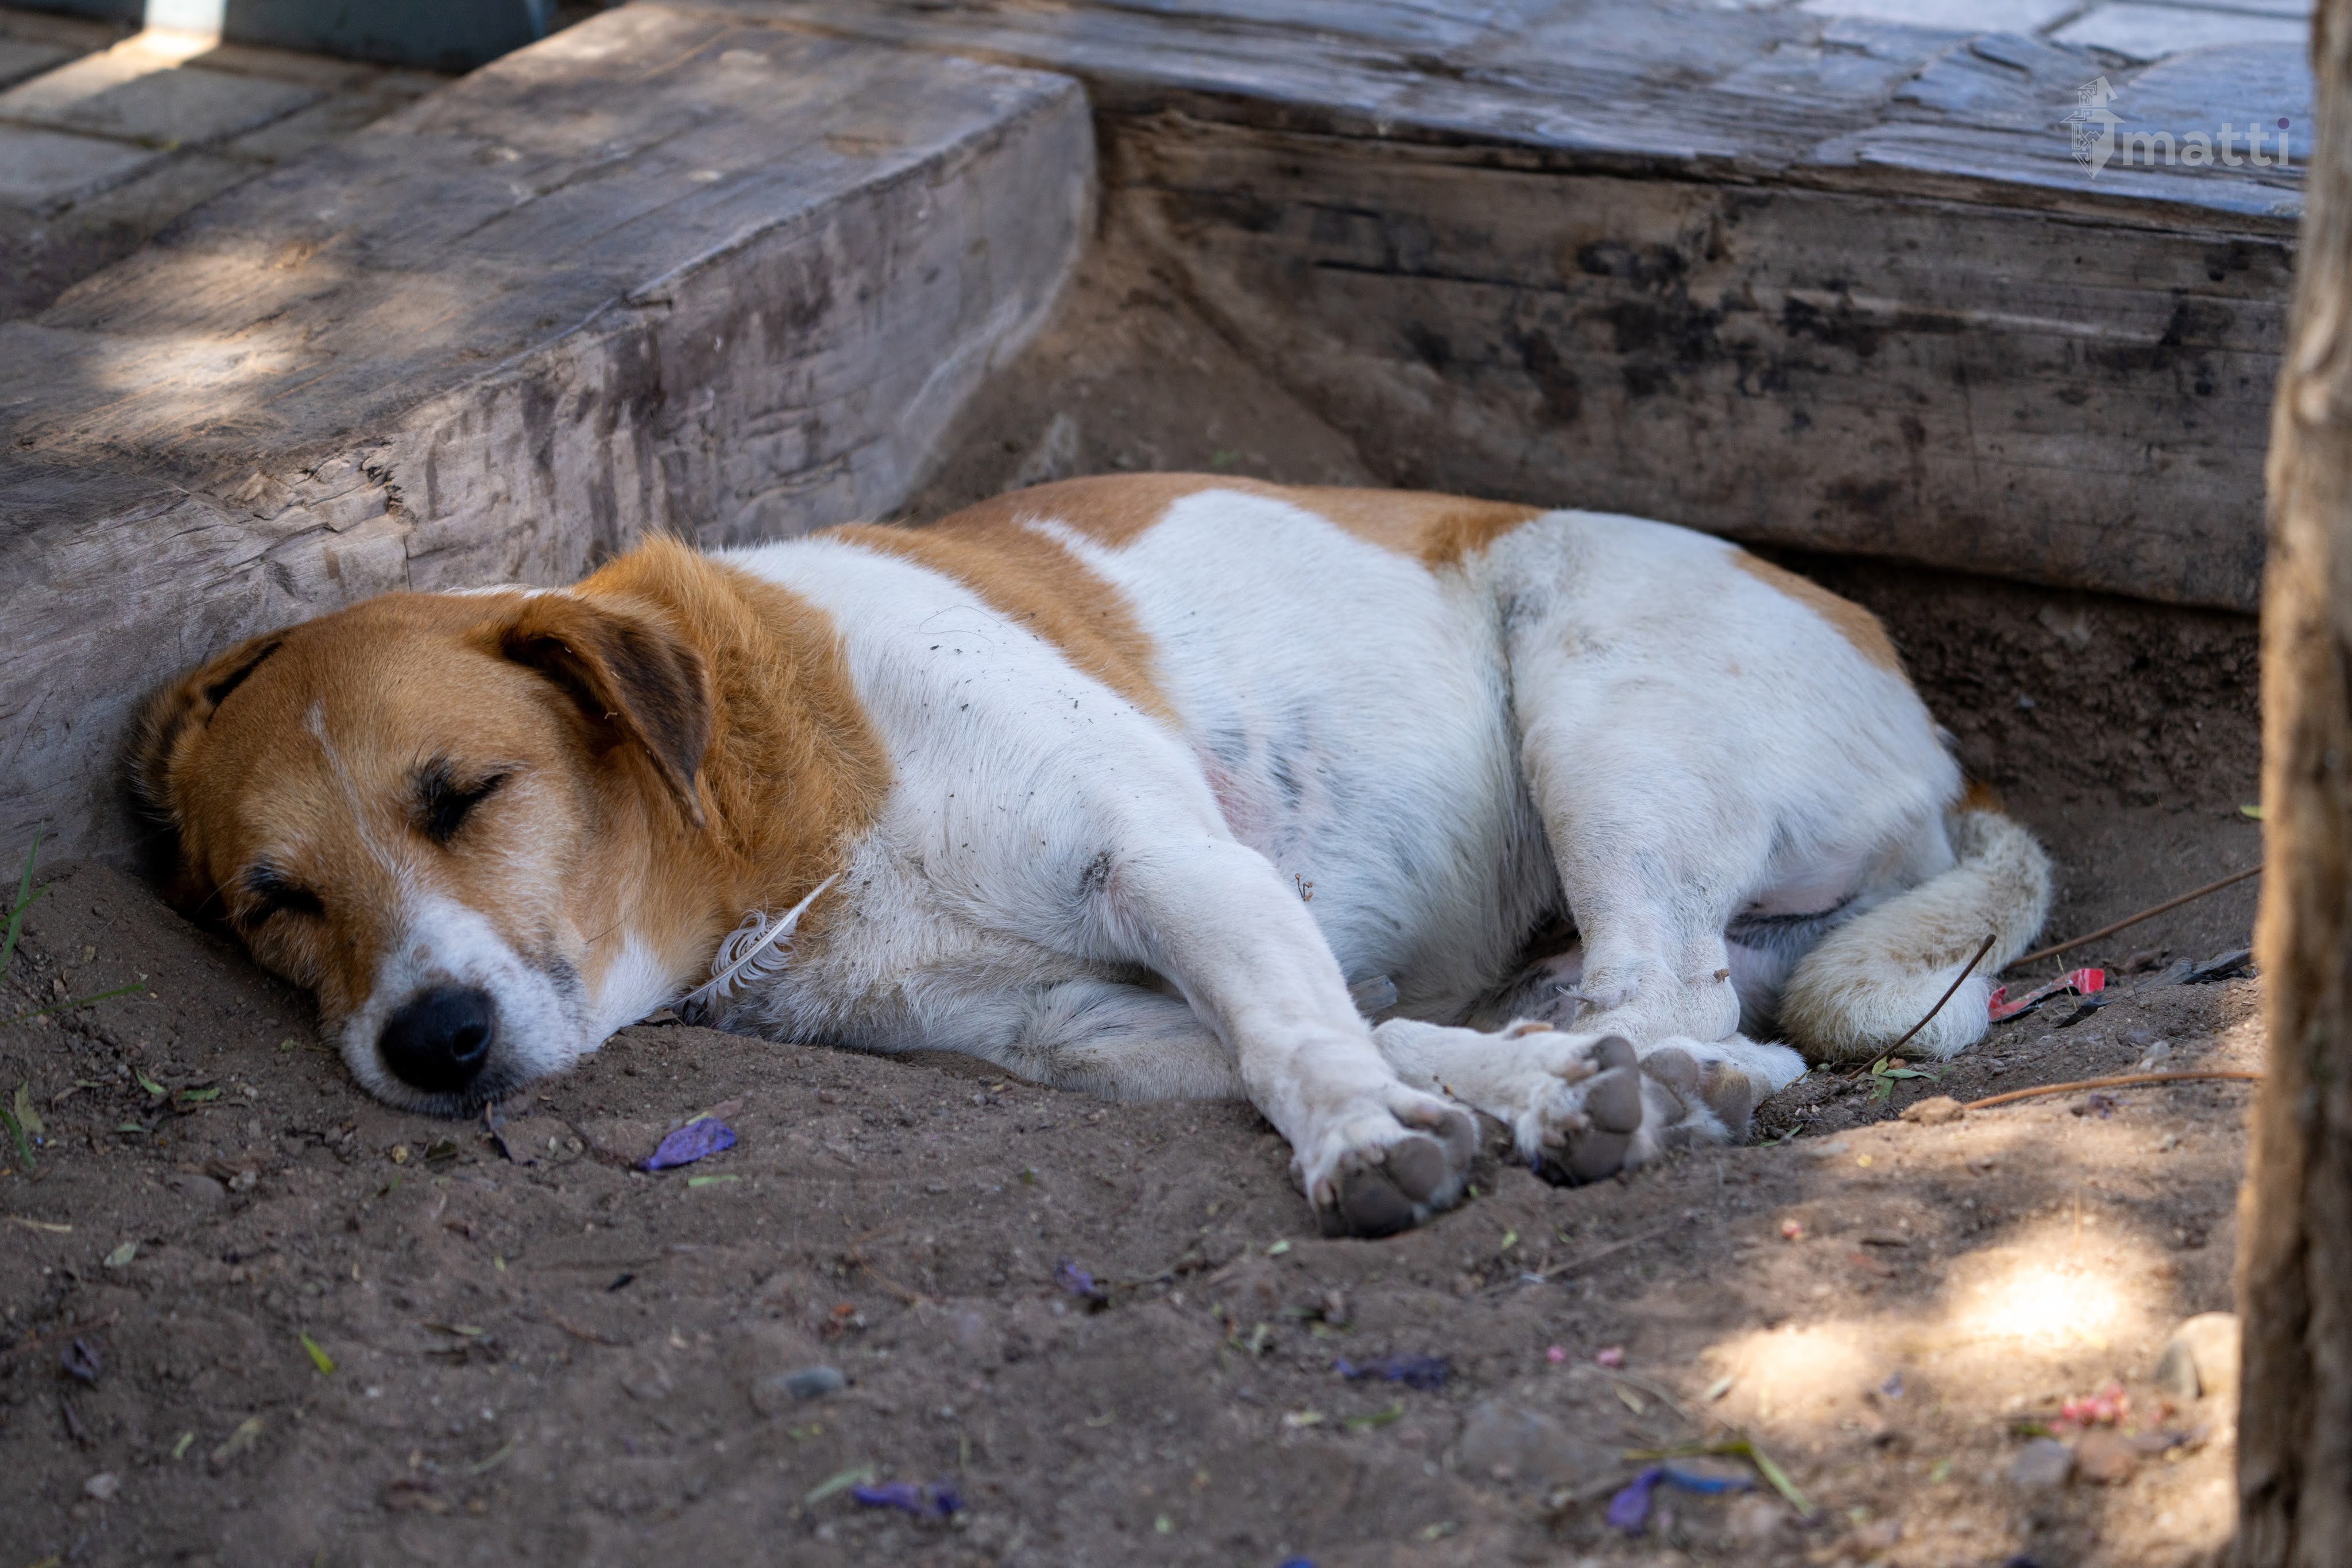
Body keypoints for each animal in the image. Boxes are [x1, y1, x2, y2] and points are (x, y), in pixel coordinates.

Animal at [136, 474, 2049, 1236]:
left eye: (466, 793)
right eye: (271, 902)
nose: (428, 1045)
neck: (771, 808)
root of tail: (1946, 761)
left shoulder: (1163, 857)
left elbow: (1301, 1032)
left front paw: (1371, 1141)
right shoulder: (1064, 1025)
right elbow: (1342, 1032)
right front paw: (1494, 1089)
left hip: (1596, 698)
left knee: (1681, 983)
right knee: (1689, 995)